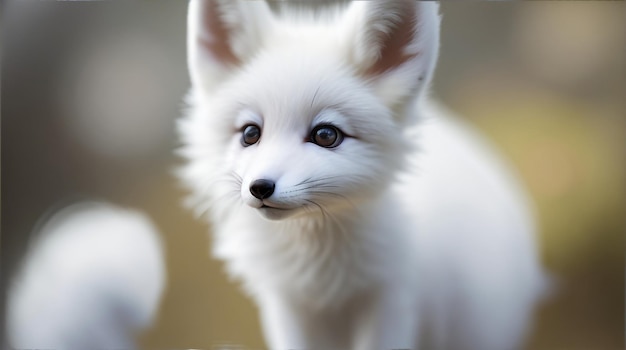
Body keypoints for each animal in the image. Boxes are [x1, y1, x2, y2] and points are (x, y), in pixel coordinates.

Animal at [179, 1, 544, 348]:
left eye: (326, 135)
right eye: (250, 133)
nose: (260, 187)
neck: (323, 277)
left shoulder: (391, 300)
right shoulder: (289, 306)